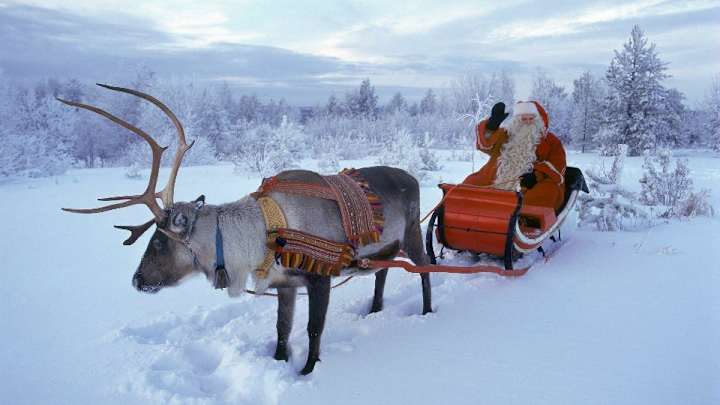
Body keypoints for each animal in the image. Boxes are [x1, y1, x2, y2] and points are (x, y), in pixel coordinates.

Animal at [59, 84, 432, 375]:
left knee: (425, 267)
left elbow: (313, 329)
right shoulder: (285, 283)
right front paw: (279, 360)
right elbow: (282, 328)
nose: (137, 280)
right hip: (385, 247)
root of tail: (412, 176)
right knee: (382, 272)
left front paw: (307, 371)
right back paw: (375, 309)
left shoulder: (319, 277)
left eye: (159, 243)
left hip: (412, 234)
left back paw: (427, 311)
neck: (262, 234)